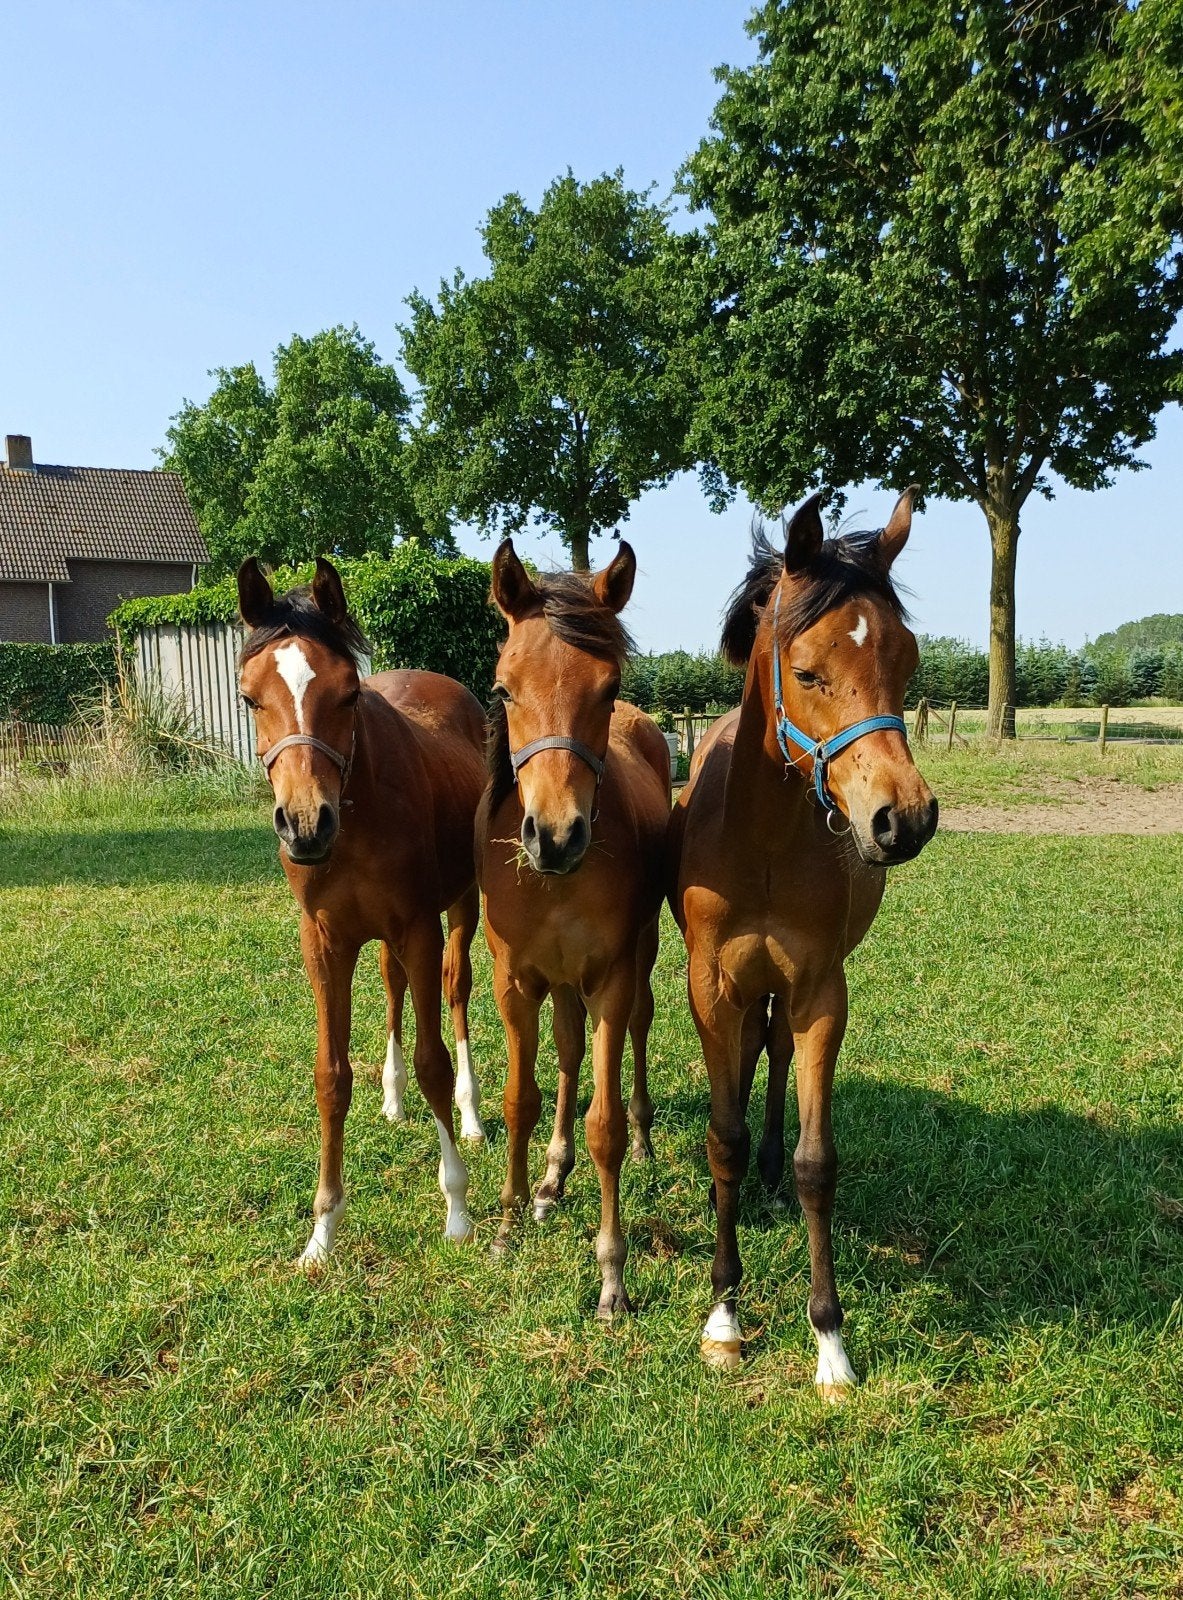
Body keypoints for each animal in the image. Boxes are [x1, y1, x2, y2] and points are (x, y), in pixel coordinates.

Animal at [236, 556, 487, 1267]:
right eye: (250, 697)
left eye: (348, 694)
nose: (304, 824)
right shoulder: (324, 940)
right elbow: (331, 1076)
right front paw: (321, 1232)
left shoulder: (419, 927)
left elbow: (435, 1058)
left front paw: (457, 1210)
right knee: (393, 985)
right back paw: (394, 1098)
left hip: (462, 906)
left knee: (456, 991)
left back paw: (472, 1115)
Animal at [667, 489, 938, 1394]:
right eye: (810, 670)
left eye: (906, 661)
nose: (903, 819)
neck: (761, 842)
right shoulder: (710, 986)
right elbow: (719, 1135)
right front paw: (723, 1315)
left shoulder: (822, 989)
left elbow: (818, 1162)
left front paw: (829, 1341)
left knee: (776, 1054)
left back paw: (769, 1173)